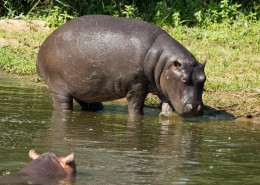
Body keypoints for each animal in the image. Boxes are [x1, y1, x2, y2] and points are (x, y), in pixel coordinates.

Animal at [37, 15, 207, 118]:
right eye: (184, 79)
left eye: (203, 79)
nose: (196, 108)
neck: (164, 61)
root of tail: (43, 45)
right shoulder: (136, 85)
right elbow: (136, 107)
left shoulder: (163, 86)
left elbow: (167, 108)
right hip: (59, 90)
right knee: (62, 106)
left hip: (83, 88)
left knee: (89, 103)